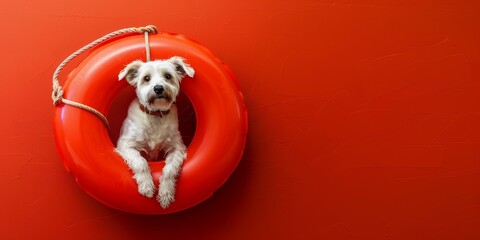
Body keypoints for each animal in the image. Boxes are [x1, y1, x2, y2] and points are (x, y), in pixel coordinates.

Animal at [115, 56, 194, 208]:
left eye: (168, 76)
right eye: (146, 78)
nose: (158, 88)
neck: (156, 115)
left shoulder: (177, 147)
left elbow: (169, 169)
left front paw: (166, 193)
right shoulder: (125, 145)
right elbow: (140, 162)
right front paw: (146, 185)